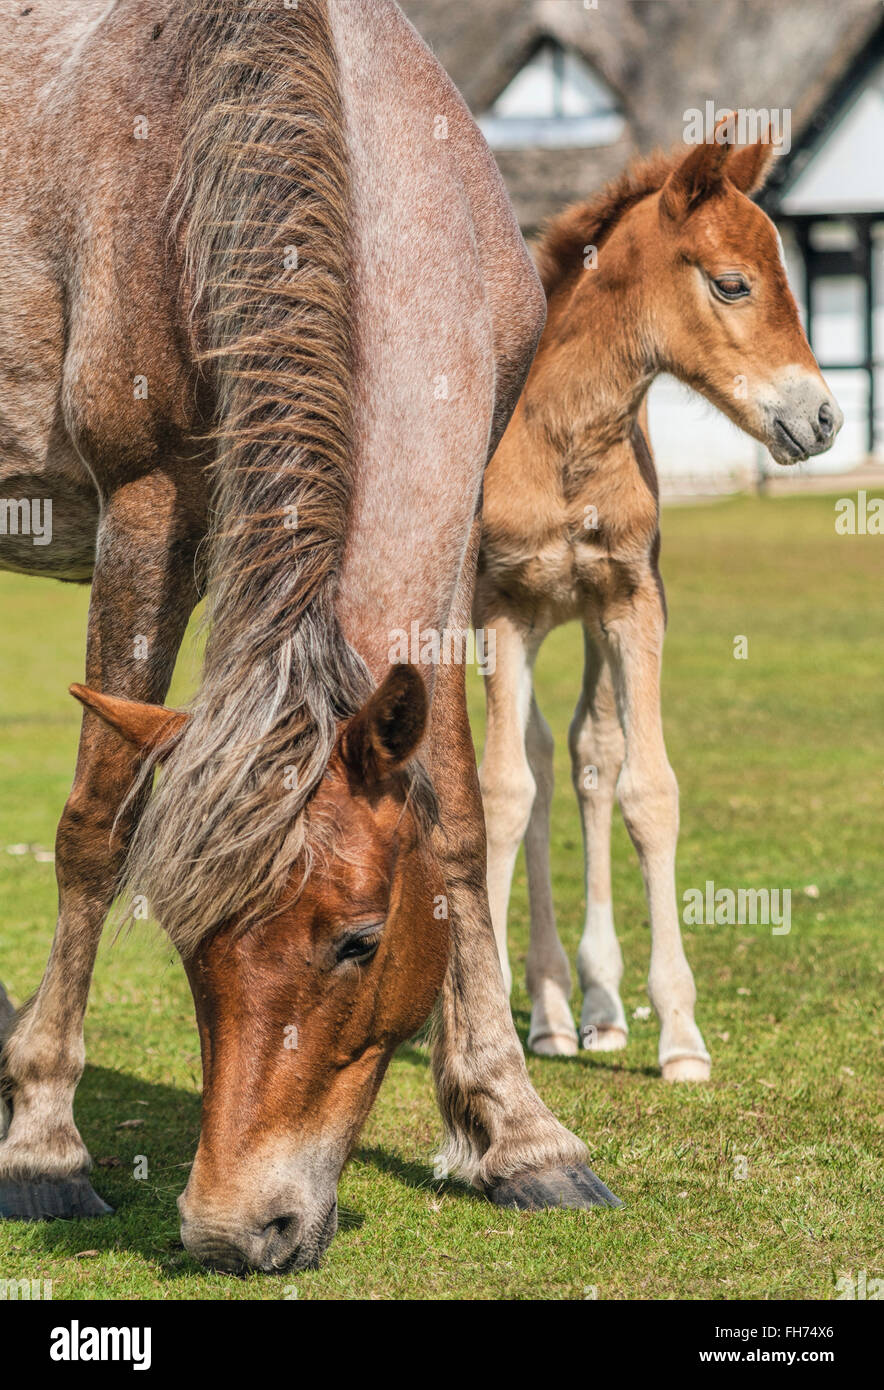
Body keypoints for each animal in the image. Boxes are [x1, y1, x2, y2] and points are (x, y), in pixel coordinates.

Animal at [0, 0, 620, 1276]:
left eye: (359, 940)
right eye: (190, 944)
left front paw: (518, 1131)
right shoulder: (144, 509)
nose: (236, 1227)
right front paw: (41, 1143)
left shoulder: (451, 546)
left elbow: (463, 823)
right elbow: (94, 827)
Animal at [475, 129, 842, 1078]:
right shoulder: (500, 606)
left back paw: (584, 1008)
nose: (825, 419)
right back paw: (538, 1005)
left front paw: (679, 1033)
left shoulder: (633, 600)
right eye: (733, 283)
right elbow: (500, 791)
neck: (561, 442)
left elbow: (646, 787)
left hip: (581, 618)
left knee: (579, 754)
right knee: (518, 764)